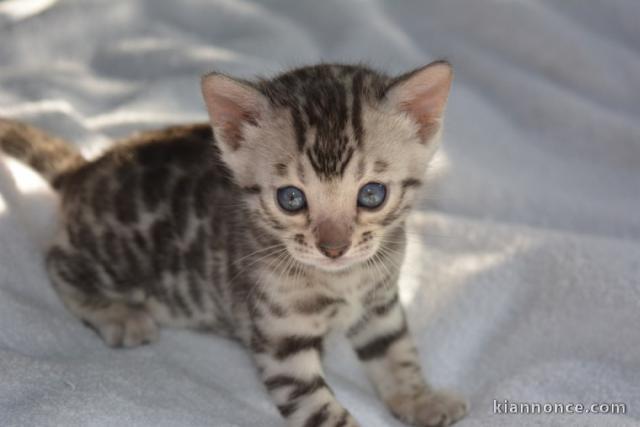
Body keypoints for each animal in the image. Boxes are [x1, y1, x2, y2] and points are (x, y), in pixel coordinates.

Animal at [1, 61, 470, 426]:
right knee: (58, 263)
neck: (343, 281)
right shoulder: (280, 340)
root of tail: (84, 170)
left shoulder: (380, 304)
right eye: (291, 199)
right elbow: (321, 409)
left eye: (372, 194)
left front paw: (421, 399)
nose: (333, 248)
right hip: (114, 256)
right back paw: (119, 314)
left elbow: (397, 353)